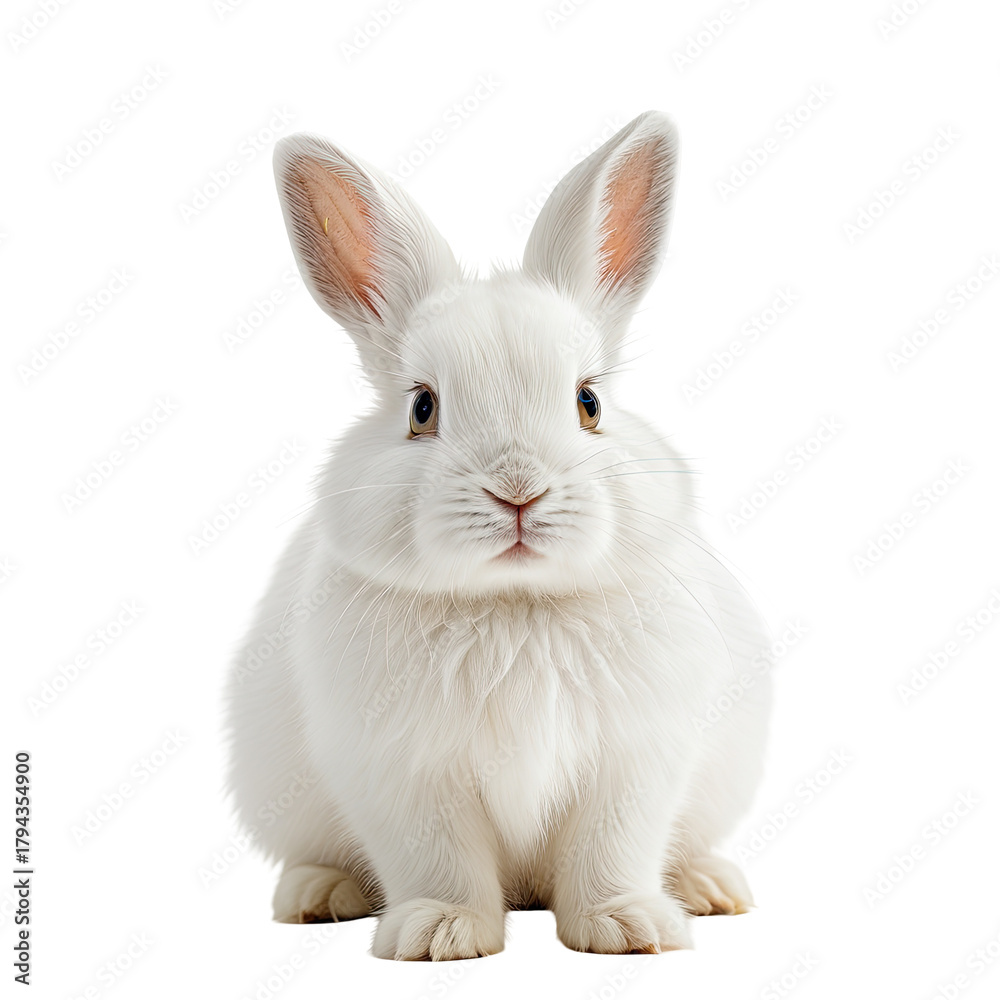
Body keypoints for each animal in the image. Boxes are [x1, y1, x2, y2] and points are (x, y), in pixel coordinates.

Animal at [224, 111, 772, 961]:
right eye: (422, 408)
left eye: (588, 403)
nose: (518, 490)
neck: (517, 604)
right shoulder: (405, 777)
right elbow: (438, 860)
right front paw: (438, 934)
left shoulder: (634, 764)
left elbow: (613, 848)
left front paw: (628, 927)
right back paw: (317, 895)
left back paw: (709, 887)